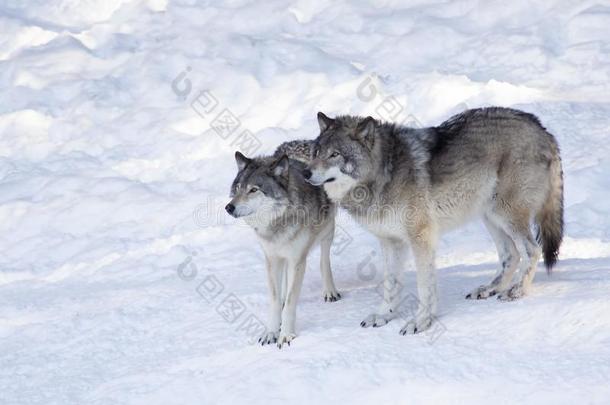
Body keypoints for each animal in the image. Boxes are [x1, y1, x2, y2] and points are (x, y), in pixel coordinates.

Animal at [224, 140, 340, 346]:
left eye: (254, 190)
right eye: (238, 188)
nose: (229, 207)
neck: (277, 223)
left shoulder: (297, 260)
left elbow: (292, 302)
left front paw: (286, 335)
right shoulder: (272, 259)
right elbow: (275, 300)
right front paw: (271, 332)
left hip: (327, 230)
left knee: (324, 260)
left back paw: (330, 291)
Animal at [302, 107, 564, 334]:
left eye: (335, 154)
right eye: (316, 153)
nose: (305, 173)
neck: (384, 172)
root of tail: (542, 128)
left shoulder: (421, 238)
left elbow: (424, 287)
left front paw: (421, 322)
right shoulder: (391, 242)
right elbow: (390, 284)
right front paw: (384, 315)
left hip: (505, 215)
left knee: (532, 250)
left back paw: (516, 291)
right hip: (490, 216)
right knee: (511, 255)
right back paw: (489, 289)